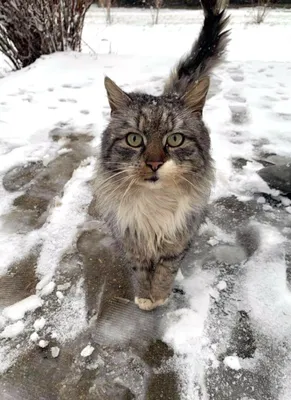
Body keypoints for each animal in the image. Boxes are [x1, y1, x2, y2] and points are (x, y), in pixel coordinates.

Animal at [93, 0, 230, 310]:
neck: (155, 203)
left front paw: (159, 296)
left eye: (175, 139)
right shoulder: (132, 239)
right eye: (134, 139)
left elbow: (166, 271)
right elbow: (141, 272)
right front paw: (145, 297)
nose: (154, 163)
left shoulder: (177, 239)